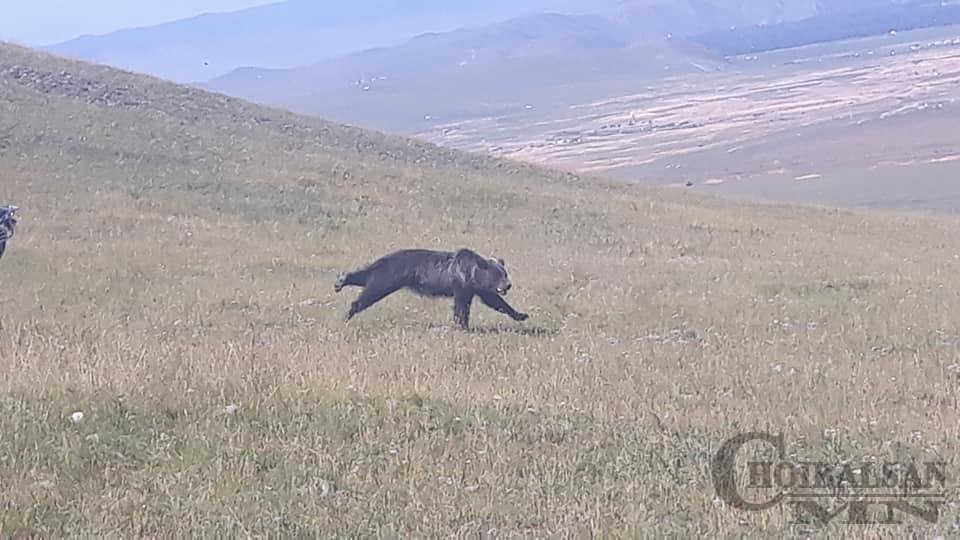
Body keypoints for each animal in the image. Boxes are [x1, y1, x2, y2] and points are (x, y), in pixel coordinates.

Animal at [336, 249, 532, 330]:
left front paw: (521, 315)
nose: (508, 285)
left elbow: (494, 301)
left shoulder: (476, 288)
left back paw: (341, 280)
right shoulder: (460, 284)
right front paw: (461, 325)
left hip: (387, 272)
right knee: (372, 291)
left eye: (505, 273)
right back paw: (349, 310)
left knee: (366, 278)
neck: (472, 273)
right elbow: (461, 306)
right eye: (498, 274)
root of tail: (386, 257)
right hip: (391, 274)